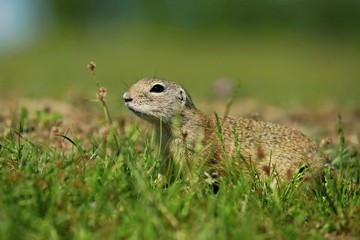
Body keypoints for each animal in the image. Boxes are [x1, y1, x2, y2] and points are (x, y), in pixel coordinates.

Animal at [123, 78, 326, 182]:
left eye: (157, 88)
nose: (126, 97)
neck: (167, 129)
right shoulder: (167, 153)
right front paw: (157, 181)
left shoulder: (194, 153)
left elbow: (193, 176)